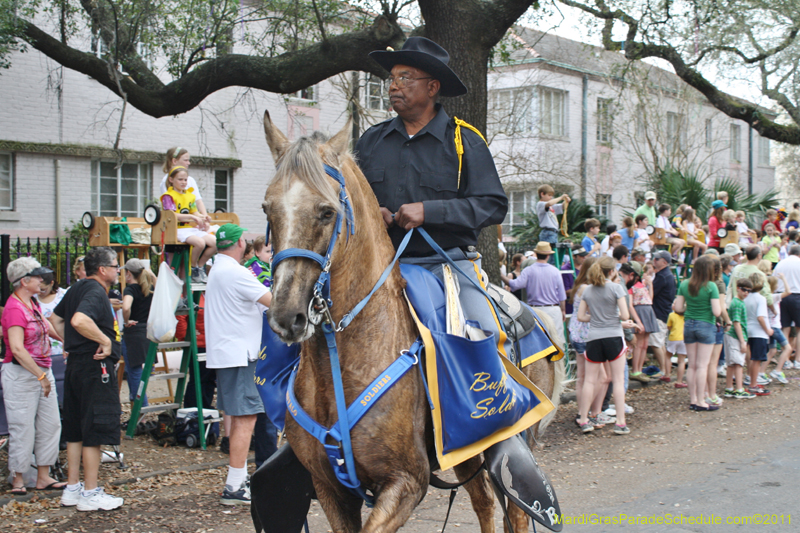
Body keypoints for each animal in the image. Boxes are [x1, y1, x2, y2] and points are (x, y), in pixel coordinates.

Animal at [260, 109, 564, 532]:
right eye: (267, 209)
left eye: (326, 211)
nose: (287, 316)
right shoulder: (330, 489)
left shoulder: (405, 483)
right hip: (465, 453)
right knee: (484, 502)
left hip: (514, 445)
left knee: (516, 511)